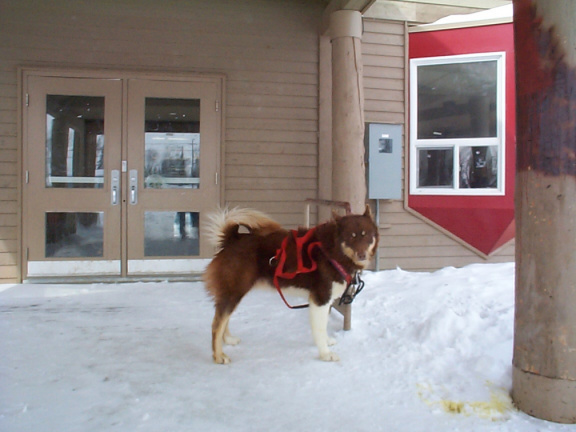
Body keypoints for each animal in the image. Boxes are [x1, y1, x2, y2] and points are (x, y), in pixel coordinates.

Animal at [202, 206, 378, 364]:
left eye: (366, 235)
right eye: (351, 237)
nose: (361, 255)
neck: (332, 251)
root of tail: (231, 238)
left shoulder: (325, 300)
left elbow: (324, 325)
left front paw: (327, 341)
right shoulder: (320, 300)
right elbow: (320, 329)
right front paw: (325, 354)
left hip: (235, 292)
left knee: (224, 319)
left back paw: (228, 340)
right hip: (234, 291)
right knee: (216, 324)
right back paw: (218, 356)